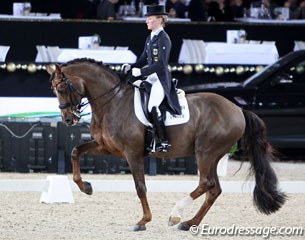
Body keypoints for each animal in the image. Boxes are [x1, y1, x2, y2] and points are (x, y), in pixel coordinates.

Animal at [46, 57, 286, 231]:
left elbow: (140, 187)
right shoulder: (106, 147)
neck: (113, 103)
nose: (69, 119)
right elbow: (75, 151)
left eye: (62, 89)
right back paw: (189, 223)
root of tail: (238, 109)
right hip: (213, 156)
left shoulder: (132, 153)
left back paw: (175, 214)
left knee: (206, 184)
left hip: (205, 152)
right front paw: (86, 187)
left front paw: (143, 221)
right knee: (214, 189)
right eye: (54, 90)